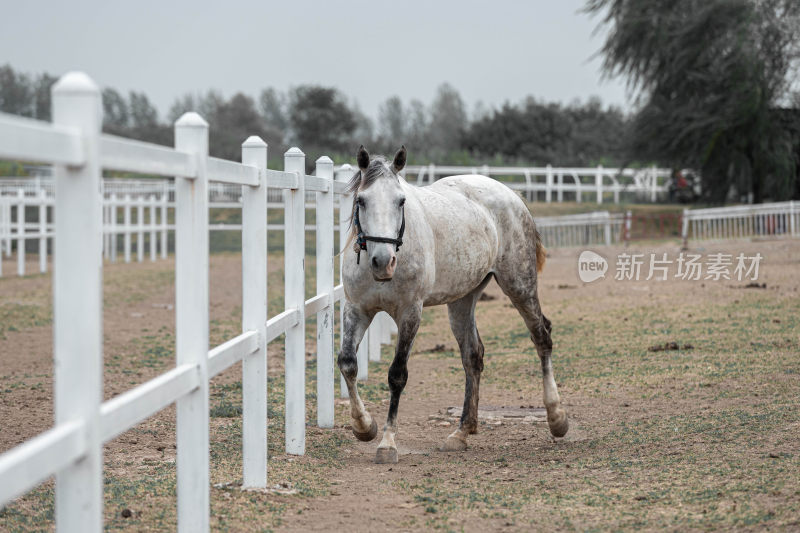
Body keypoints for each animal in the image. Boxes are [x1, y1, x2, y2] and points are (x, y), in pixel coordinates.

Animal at [338, 144, 568, 462]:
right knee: (473, 356)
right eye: (361, 200)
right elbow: (348, 363)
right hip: (462, 299)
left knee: (541, 337)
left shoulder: (410, 313)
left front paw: (387, 443)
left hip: (519, 285)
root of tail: (511, 195)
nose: (383, 262)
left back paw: (556, 418)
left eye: (400, 201)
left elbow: (397, 375)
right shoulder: (357, 309)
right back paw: (462, 432)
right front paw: (364, 427)